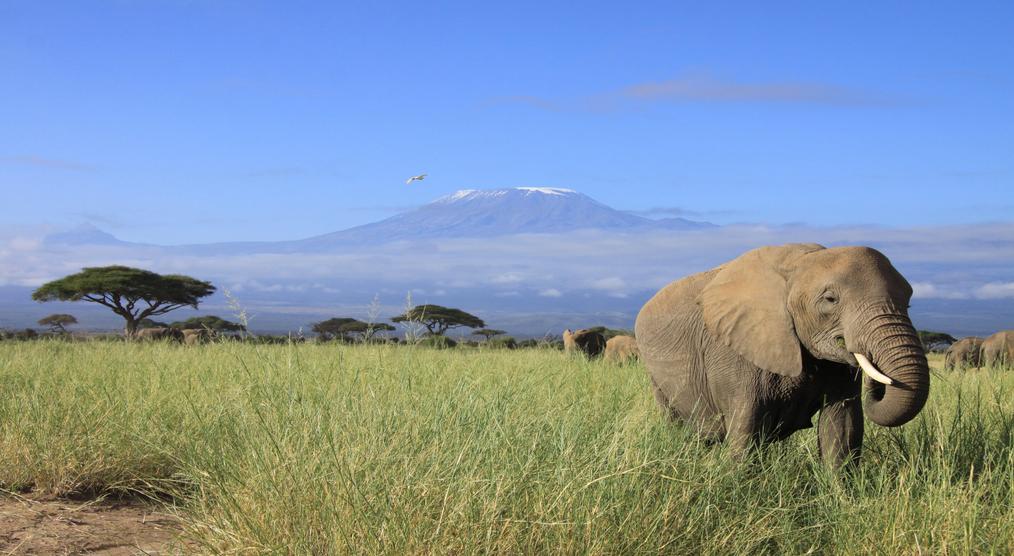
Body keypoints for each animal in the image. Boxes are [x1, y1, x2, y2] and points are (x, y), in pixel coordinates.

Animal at [635, 243, 930, 467]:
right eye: (830, 299)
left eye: (908, 303)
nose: (878, 382)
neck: (800, 264)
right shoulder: (735, 350)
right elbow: (745, 429)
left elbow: (842, 426)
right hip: (656, 378)